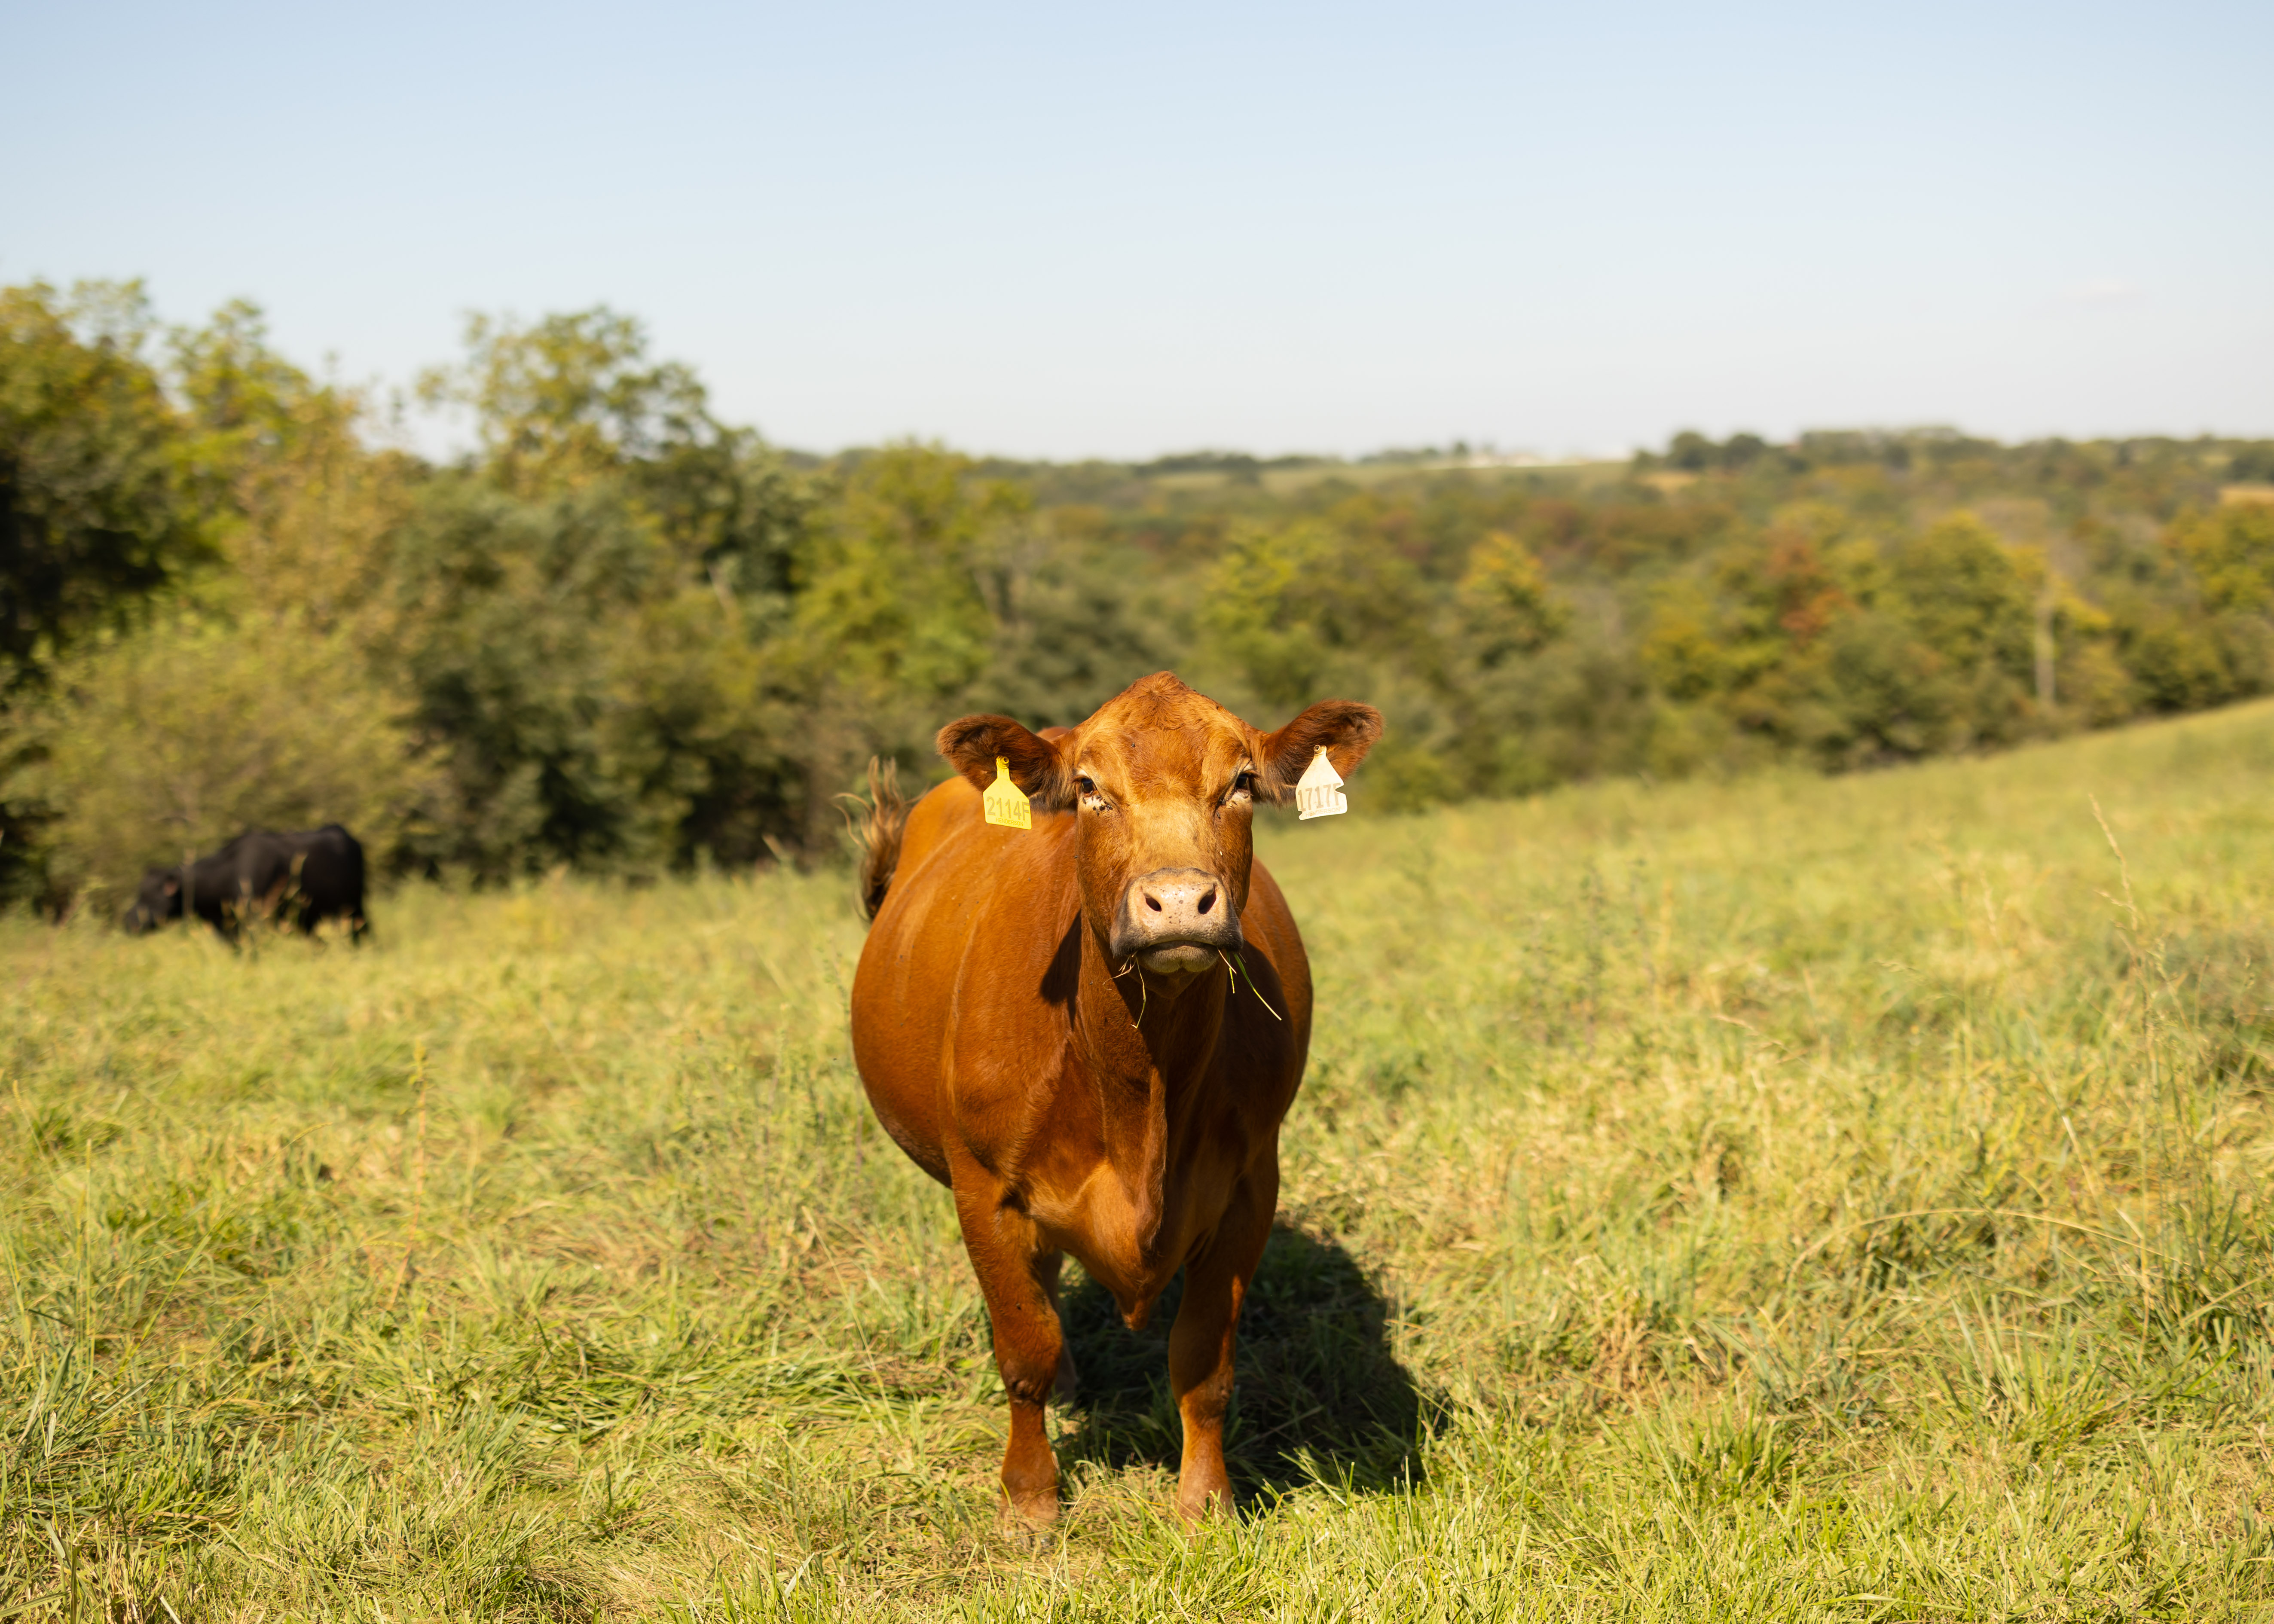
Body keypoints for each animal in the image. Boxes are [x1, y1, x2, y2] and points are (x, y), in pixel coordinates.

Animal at [123, 824, 369, 943]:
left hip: (354, 906)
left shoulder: (253, 922)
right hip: (308, 916)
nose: (128, 922)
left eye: (151, 899)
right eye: (139, 895)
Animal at [848, 671, 1382, 1526]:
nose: (1179, 902)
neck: (1139, 1084)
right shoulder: (983, 1190)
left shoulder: (1248, 1189)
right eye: (1091, 790)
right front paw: (1029, 1501)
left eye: (1240, 784)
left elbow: (1203, 1364)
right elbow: (1024, 1349)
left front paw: (1205, 1504)